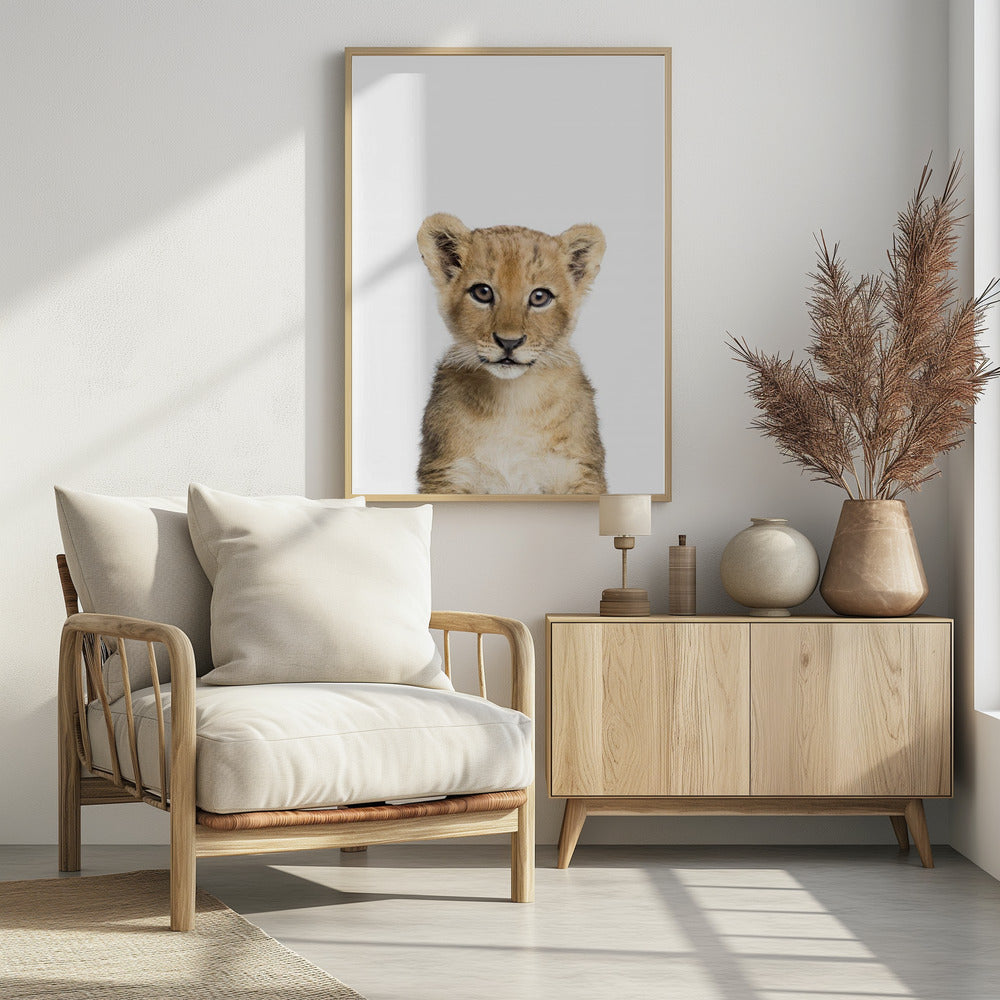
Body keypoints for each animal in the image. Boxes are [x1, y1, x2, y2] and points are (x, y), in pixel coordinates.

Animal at [415, 213, 608, 495]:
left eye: (539, 297)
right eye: (482, 292)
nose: (509, 342)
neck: (511, 401)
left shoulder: (579, 472)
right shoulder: (446, 473)